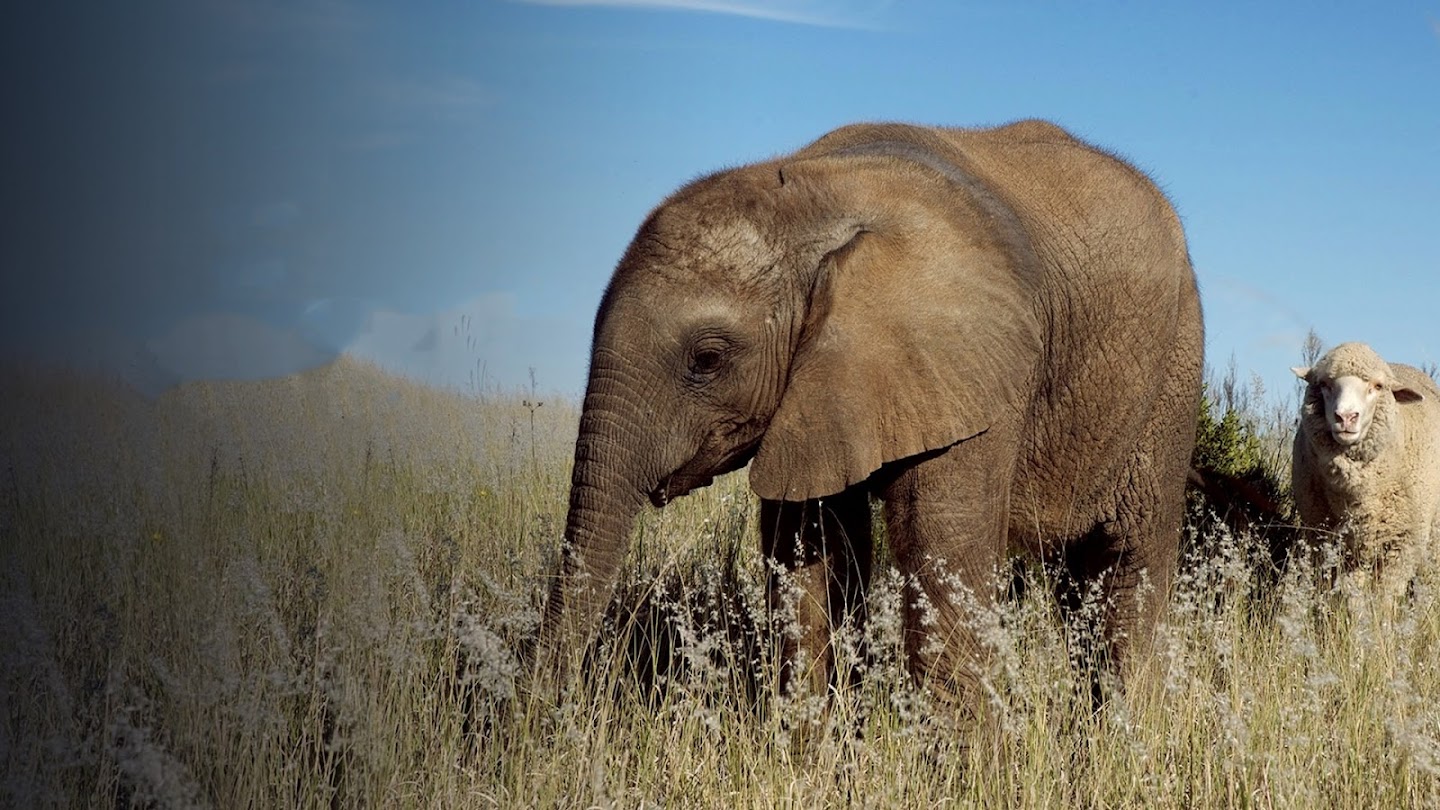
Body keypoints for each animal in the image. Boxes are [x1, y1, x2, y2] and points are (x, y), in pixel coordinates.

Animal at [541, 116, 1203, 703]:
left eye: (706, 359)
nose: (547, 713)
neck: (813, 195)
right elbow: (806, 561)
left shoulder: (968, 368)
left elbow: (940, 563)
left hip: (1175, 367)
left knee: (1127, 568)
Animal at [1296, 337, 1440, 602]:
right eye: (1324, 384)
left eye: (1378, 386)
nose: (1345, 417)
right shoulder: (1326, 538)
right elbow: (1348, 594)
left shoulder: (1404, 543)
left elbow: (1385, 597)